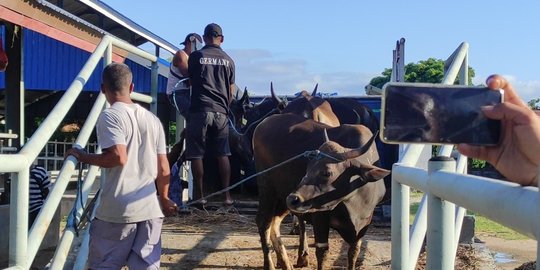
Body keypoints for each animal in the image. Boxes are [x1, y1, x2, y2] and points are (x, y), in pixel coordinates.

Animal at [253, 113, 388, 270]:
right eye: (308, 167)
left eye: (327, 172)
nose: (293, 199)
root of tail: (264, 122)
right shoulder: (319, 215)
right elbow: (322, 252)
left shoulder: (363, 224)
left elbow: (353, 252)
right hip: (268, 190)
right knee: (264, 222)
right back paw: (270, 264)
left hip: (282, 197)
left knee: (275, 223)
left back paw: (285, 263)